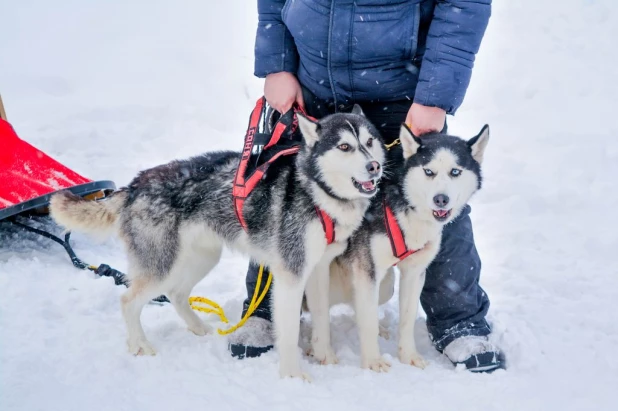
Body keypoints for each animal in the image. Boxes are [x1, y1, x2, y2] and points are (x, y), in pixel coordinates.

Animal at [49, 108, 384, 382]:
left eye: (369, 142)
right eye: (344, 146)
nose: (374, 167)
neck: (317, 191)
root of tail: (133, 186)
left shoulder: (316, 270)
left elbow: (321, 319)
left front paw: (325, 356)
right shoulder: (290, 275)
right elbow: (288, 331)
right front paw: (292, 375)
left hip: (201, 258)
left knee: (176, 294)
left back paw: (198, 328)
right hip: (162, 265)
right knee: (128, 301)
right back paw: (140, 345)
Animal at [302, 124, 486, 372]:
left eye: (455, 172)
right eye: (429, 172)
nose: (441, 199)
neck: (405, 205)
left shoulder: (414, 273)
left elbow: (405, 319)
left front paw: (408, 356)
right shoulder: (367, 271)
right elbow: (367, 321)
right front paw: (373, 361)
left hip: (385, 285)